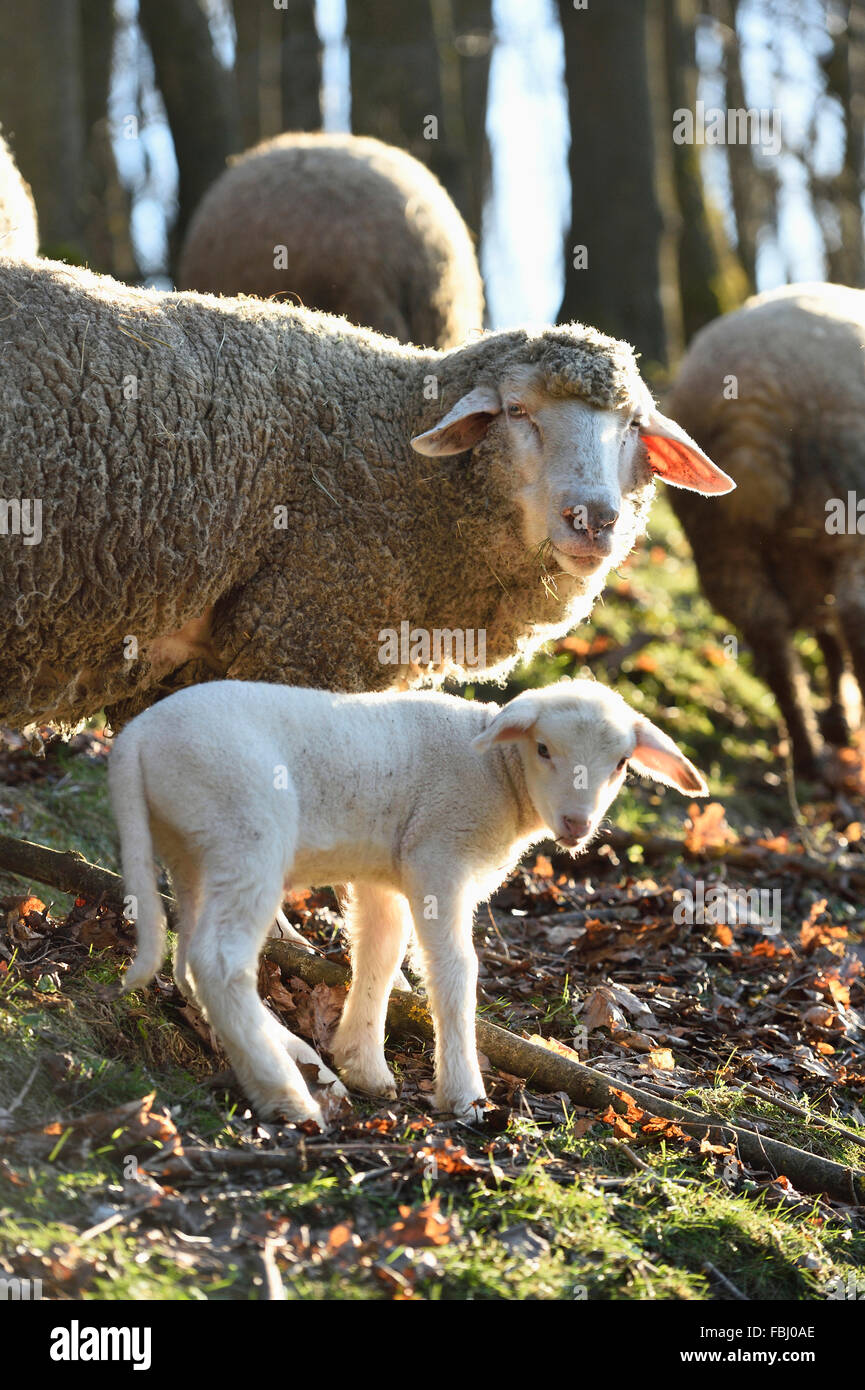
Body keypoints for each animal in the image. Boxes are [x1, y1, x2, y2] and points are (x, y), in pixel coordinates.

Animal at [108, 675, 709, 1128]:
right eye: (543, 748)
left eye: (622, 764)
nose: (577, 825)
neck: (497, 772)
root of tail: (134, 740)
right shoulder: (437, 855)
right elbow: (454, 970)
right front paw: (464, 1095)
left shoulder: (386, 874)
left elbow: (379, 953)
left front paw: (362, 1065)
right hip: (244, 830)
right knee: (219, 961)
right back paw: (288, 1097)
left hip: (193, 849)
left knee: (190, 961)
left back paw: (304, 1064)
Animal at [670, 282, 865, 778]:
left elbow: (826, 637)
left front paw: (838, 718)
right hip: (848, 500)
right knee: (853, 610)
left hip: (721, 543)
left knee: (769, 633)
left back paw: (809, 755)